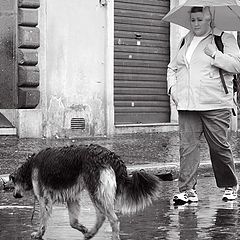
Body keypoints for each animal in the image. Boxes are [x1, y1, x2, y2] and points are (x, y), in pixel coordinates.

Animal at [10, 143, 161, 239]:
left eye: (13, 183)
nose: (14, 195)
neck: (30, 166)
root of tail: (109, 155)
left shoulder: (43, 198)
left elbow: (43, 220)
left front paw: (38, 234)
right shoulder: (72, 197)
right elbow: (73, 222)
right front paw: (83, 229)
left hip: (96, 191)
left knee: (113, 219)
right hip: (98, 192)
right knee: (102, 216)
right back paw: (90, 233)